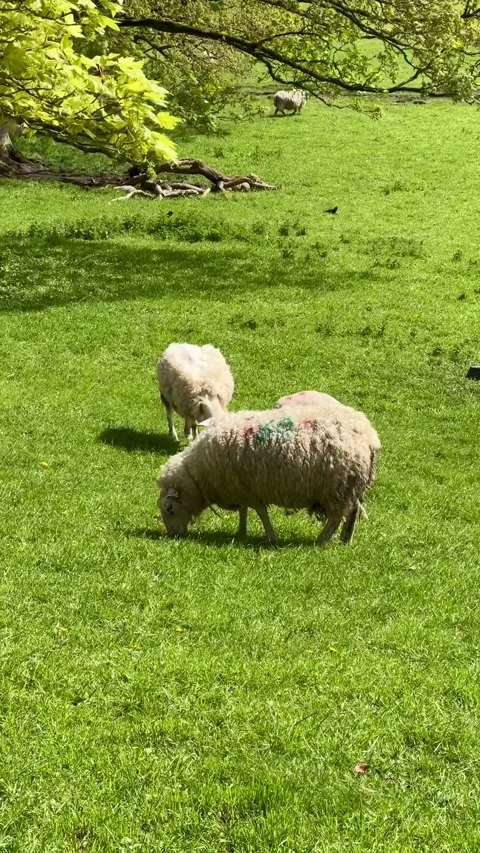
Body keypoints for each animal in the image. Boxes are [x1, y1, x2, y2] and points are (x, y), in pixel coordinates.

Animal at [157, 405, 381, 545]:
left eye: (169, 508)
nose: (173, 535)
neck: (199, 474)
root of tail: (369, 437)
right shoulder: (241, 487)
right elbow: (244, 511)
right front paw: (241, 532)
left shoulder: (250, 489)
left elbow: (260, 512)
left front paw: (270, 537)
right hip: (352, 486)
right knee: (352, 514)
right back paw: (345, 540)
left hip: (339, 487)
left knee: (335, 518)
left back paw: (321, 541)